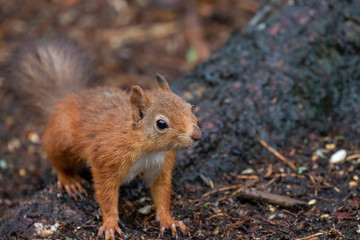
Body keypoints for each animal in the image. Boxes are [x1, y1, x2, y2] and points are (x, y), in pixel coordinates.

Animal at [2, 40, 201, 239]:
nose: (197, 135)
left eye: (190, 106)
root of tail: (62, 101)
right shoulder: (106, 160)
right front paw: (110, 224)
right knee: (57, 161)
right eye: (161, 124)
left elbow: (162, 192)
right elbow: (106, 194)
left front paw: (169, 220)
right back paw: (69, 180)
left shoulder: (162, 165)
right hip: (63, 141)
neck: (147, 149)